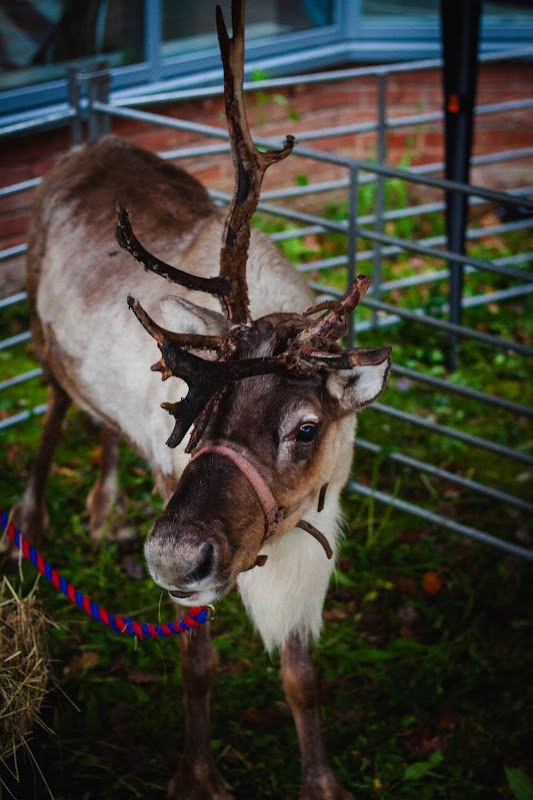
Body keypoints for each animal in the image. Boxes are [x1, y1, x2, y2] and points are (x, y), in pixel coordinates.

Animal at [12, 1, 391, 797]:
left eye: (306, 428)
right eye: (197, 415)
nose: (170, 556)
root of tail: (84, 144)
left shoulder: (309, 532)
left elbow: (301, 675)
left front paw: (321, 782)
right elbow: (199, 663)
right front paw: (197, 775)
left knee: (102, 424)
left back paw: (105, 511)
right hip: (36, 324)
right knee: (56, 406)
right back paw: (27, 524)